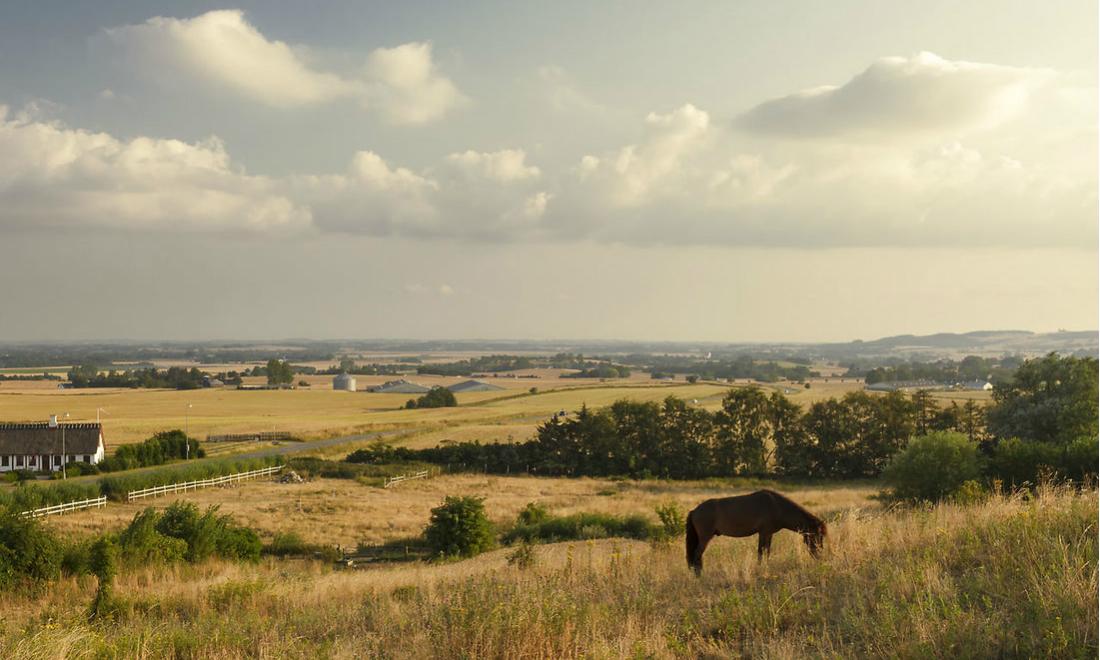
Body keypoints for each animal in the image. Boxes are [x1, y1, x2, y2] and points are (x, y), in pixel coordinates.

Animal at [686, 486, 827, 576]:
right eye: (818, 535)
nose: (820, 556)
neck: (777, 506)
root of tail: (694, 511)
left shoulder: (768, 534)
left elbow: (766, 551)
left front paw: (766, 566)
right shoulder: (764, 533)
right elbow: (761, 551)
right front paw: (760, 568)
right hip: (705, 538)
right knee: (697, 554)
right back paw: (699, 575)